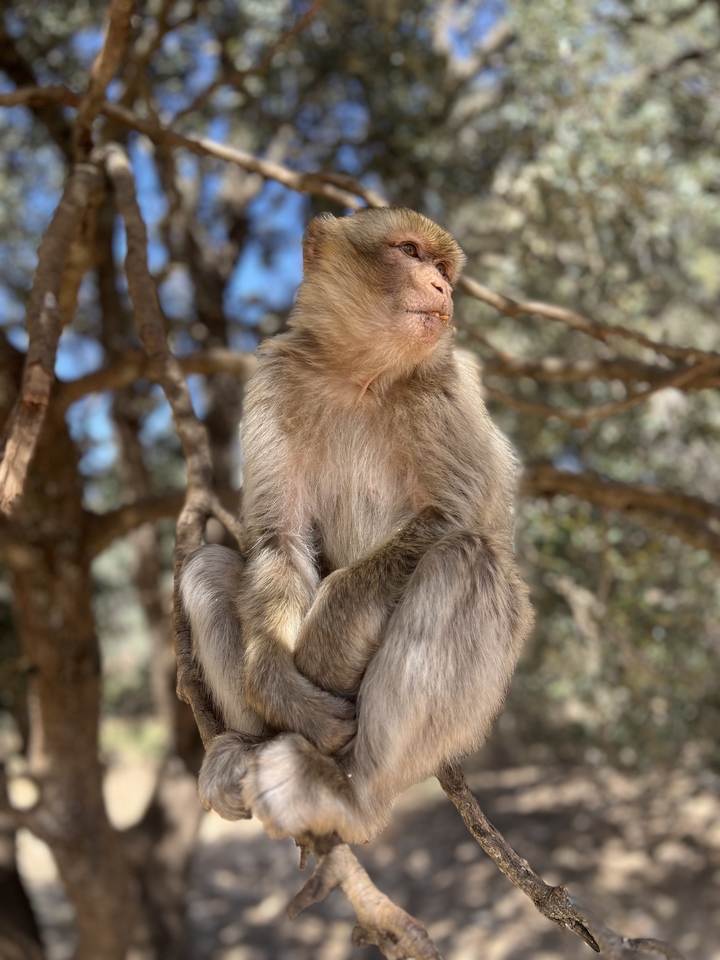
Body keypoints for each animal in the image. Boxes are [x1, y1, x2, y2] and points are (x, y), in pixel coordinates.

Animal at [178, 206, 534, 844]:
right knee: (208, 565)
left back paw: (347, 791)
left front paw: (327, 643)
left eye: (444, 268)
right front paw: (279, 685)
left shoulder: (445, 382)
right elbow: (279, 541)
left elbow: (455, 517)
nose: (443, 288)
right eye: (410, 251)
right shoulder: (276, 378)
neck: (359, 372)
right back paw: (250, 746)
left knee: (467, 560)